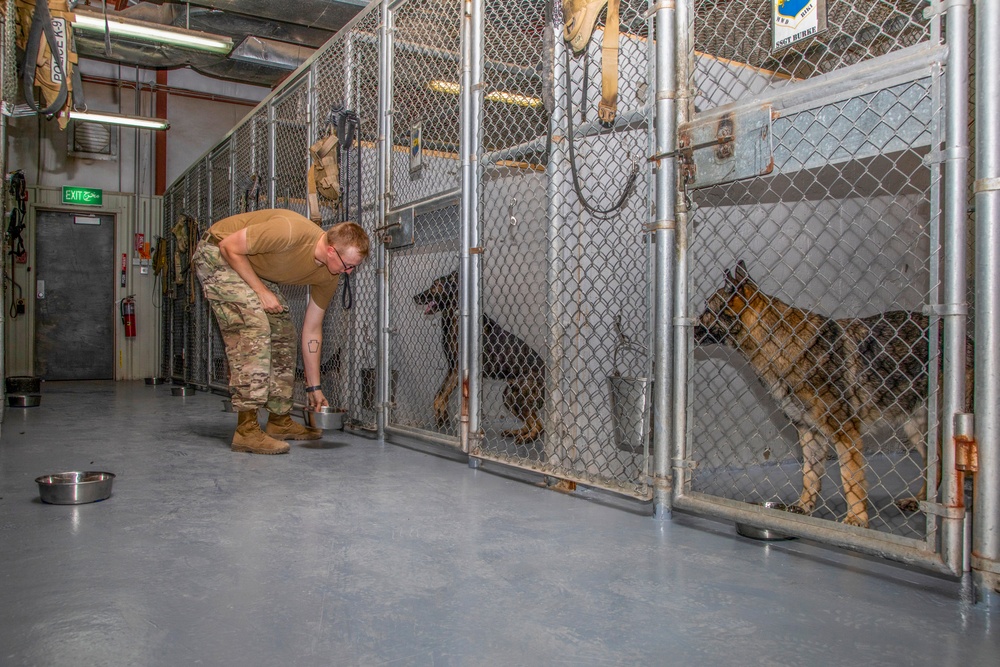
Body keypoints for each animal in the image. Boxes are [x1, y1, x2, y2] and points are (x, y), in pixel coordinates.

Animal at [416, 272, 548, 444]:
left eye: (436, 285)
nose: (415, 297)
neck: (455, 314)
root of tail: (545, 371)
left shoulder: (459, 370)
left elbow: (445, 394)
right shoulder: (452, 368)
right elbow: (440, 395)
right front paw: (442, 416)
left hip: (520, 396)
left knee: (539, 425)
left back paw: (527, 438)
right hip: (509, 396)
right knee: (532, 421)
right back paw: (517, 432)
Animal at [696, 260, 968, 528]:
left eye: (708, 308)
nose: (692, 325)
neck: (778, 341)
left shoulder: (845, 434)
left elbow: (851, 479)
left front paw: (855, 520)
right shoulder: (809, 432)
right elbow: (810, 475)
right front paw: (802, 509)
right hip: (916, 429)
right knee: (935, 464)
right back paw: (919, 501)